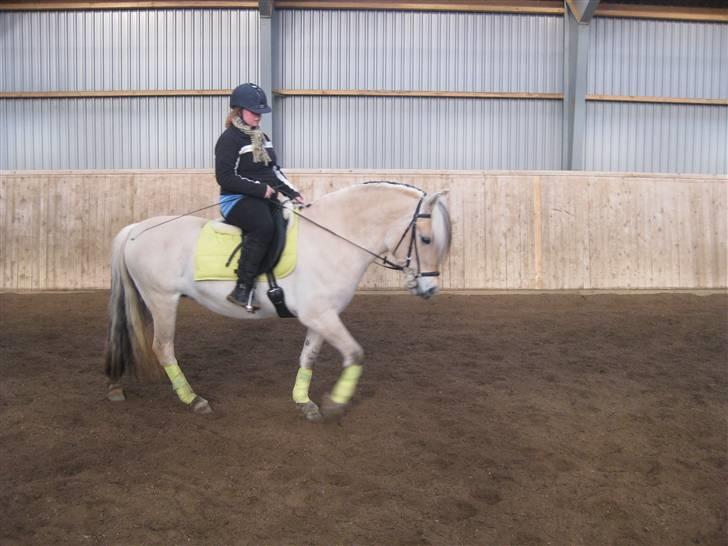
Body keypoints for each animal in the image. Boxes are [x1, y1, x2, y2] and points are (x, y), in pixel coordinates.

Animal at [105, 181, 452, 418]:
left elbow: (308, 356)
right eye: (425, 239)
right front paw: (335, 403)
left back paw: (115, 386)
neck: (334, 238)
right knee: (163, 348)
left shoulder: (322, 315)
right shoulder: (320, 315)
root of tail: (135, 230)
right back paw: (193, 399)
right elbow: (355, 354)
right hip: (162, 300)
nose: (430, 290)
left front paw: (304, 402)